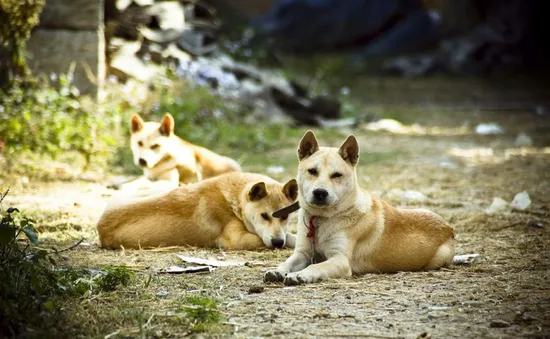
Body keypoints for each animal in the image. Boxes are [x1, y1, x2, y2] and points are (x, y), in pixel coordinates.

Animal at [98, 174, 298, 251]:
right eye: (264, 216)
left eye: (286, 216)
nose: (277, 242)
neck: (235, 200)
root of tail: (100, 225)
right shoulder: (238, 240)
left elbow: (290, 235)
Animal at [266, 131, 454, 286]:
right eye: (312, 171)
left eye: (337, 175)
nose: (320, 193)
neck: (321, 218)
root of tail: (449, 228)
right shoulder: (303, 253)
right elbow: (287, 262)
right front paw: (277, 270)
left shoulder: (340, 260)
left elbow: (316, 267)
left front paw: (301, 275)